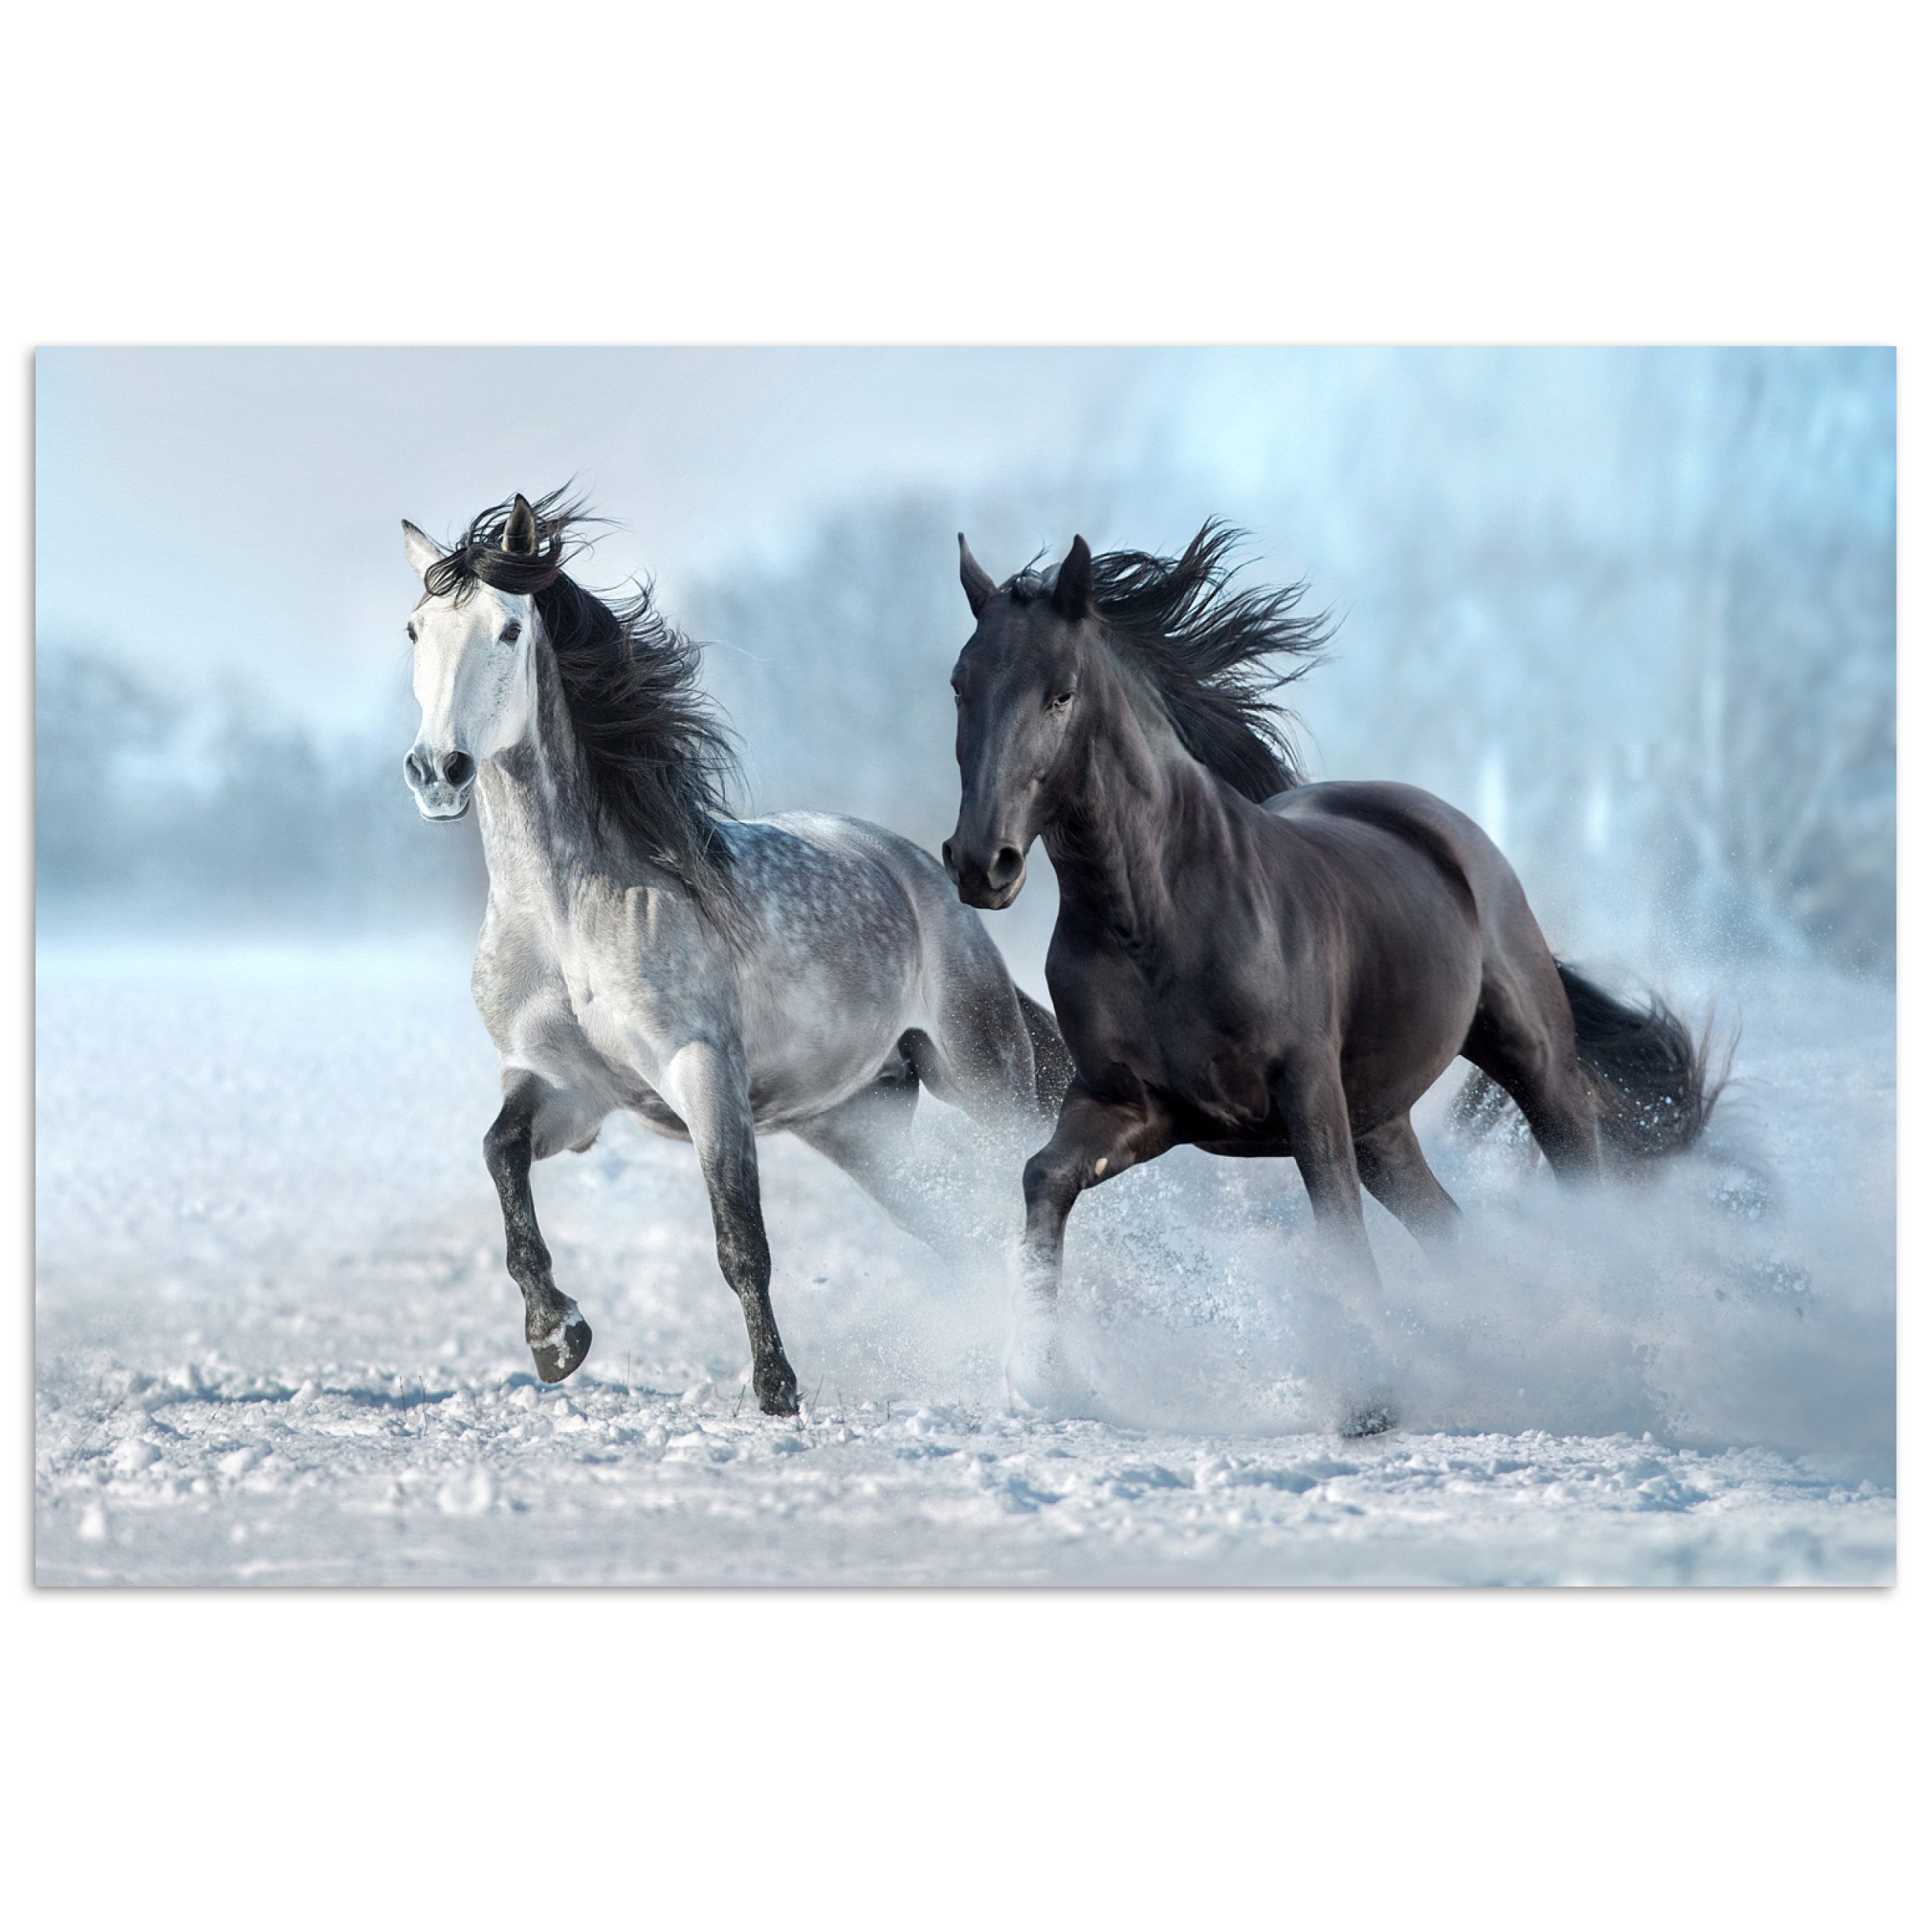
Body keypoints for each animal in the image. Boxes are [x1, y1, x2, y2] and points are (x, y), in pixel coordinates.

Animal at [400, 490, 1068, 1414]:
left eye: (506, 630)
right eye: (415, 629)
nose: (439, 771)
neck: (565, 915)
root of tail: (921, 873)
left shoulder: (703, 1070)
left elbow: (740, 1239)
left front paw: (777, 1391)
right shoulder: (563, 1087)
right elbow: (500, 1157)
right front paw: (556, 1336)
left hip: (983, 1074)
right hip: (858, 1124)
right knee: (958, 1229)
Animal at [942, 522, 1723, 1422]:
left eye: (1061, 693)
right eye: (960, 685)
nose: (982, 863)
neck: (1156, 920)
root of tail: (1447, 830)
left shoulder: (1306, 1091)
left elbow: (1338, 1230)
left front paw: (1370, 1401)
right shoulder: (1130, 1106)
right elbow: (1045, 1179)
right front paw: (1044, 1375)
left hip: (1533, 1061)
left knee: (1578, 1180)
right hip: (1382, 1124)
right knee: (1450, 1230)